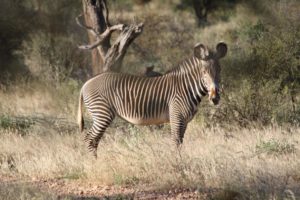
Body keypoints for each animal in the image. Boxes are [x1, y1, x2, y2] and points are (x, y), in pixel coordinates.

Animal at [77, 41, 227, 156]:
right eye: (204, 72)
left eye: (220, 71)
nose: (215, 98)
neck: (187, 87)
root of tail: (87, 82)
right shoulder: (176, 116)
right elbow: (176, 141)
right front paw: (178, 163)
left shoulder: (184, 120)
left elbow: (180, 141)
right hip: (102, 113)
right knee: (91, 139)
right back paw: (94, 164)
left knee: (92, 139)